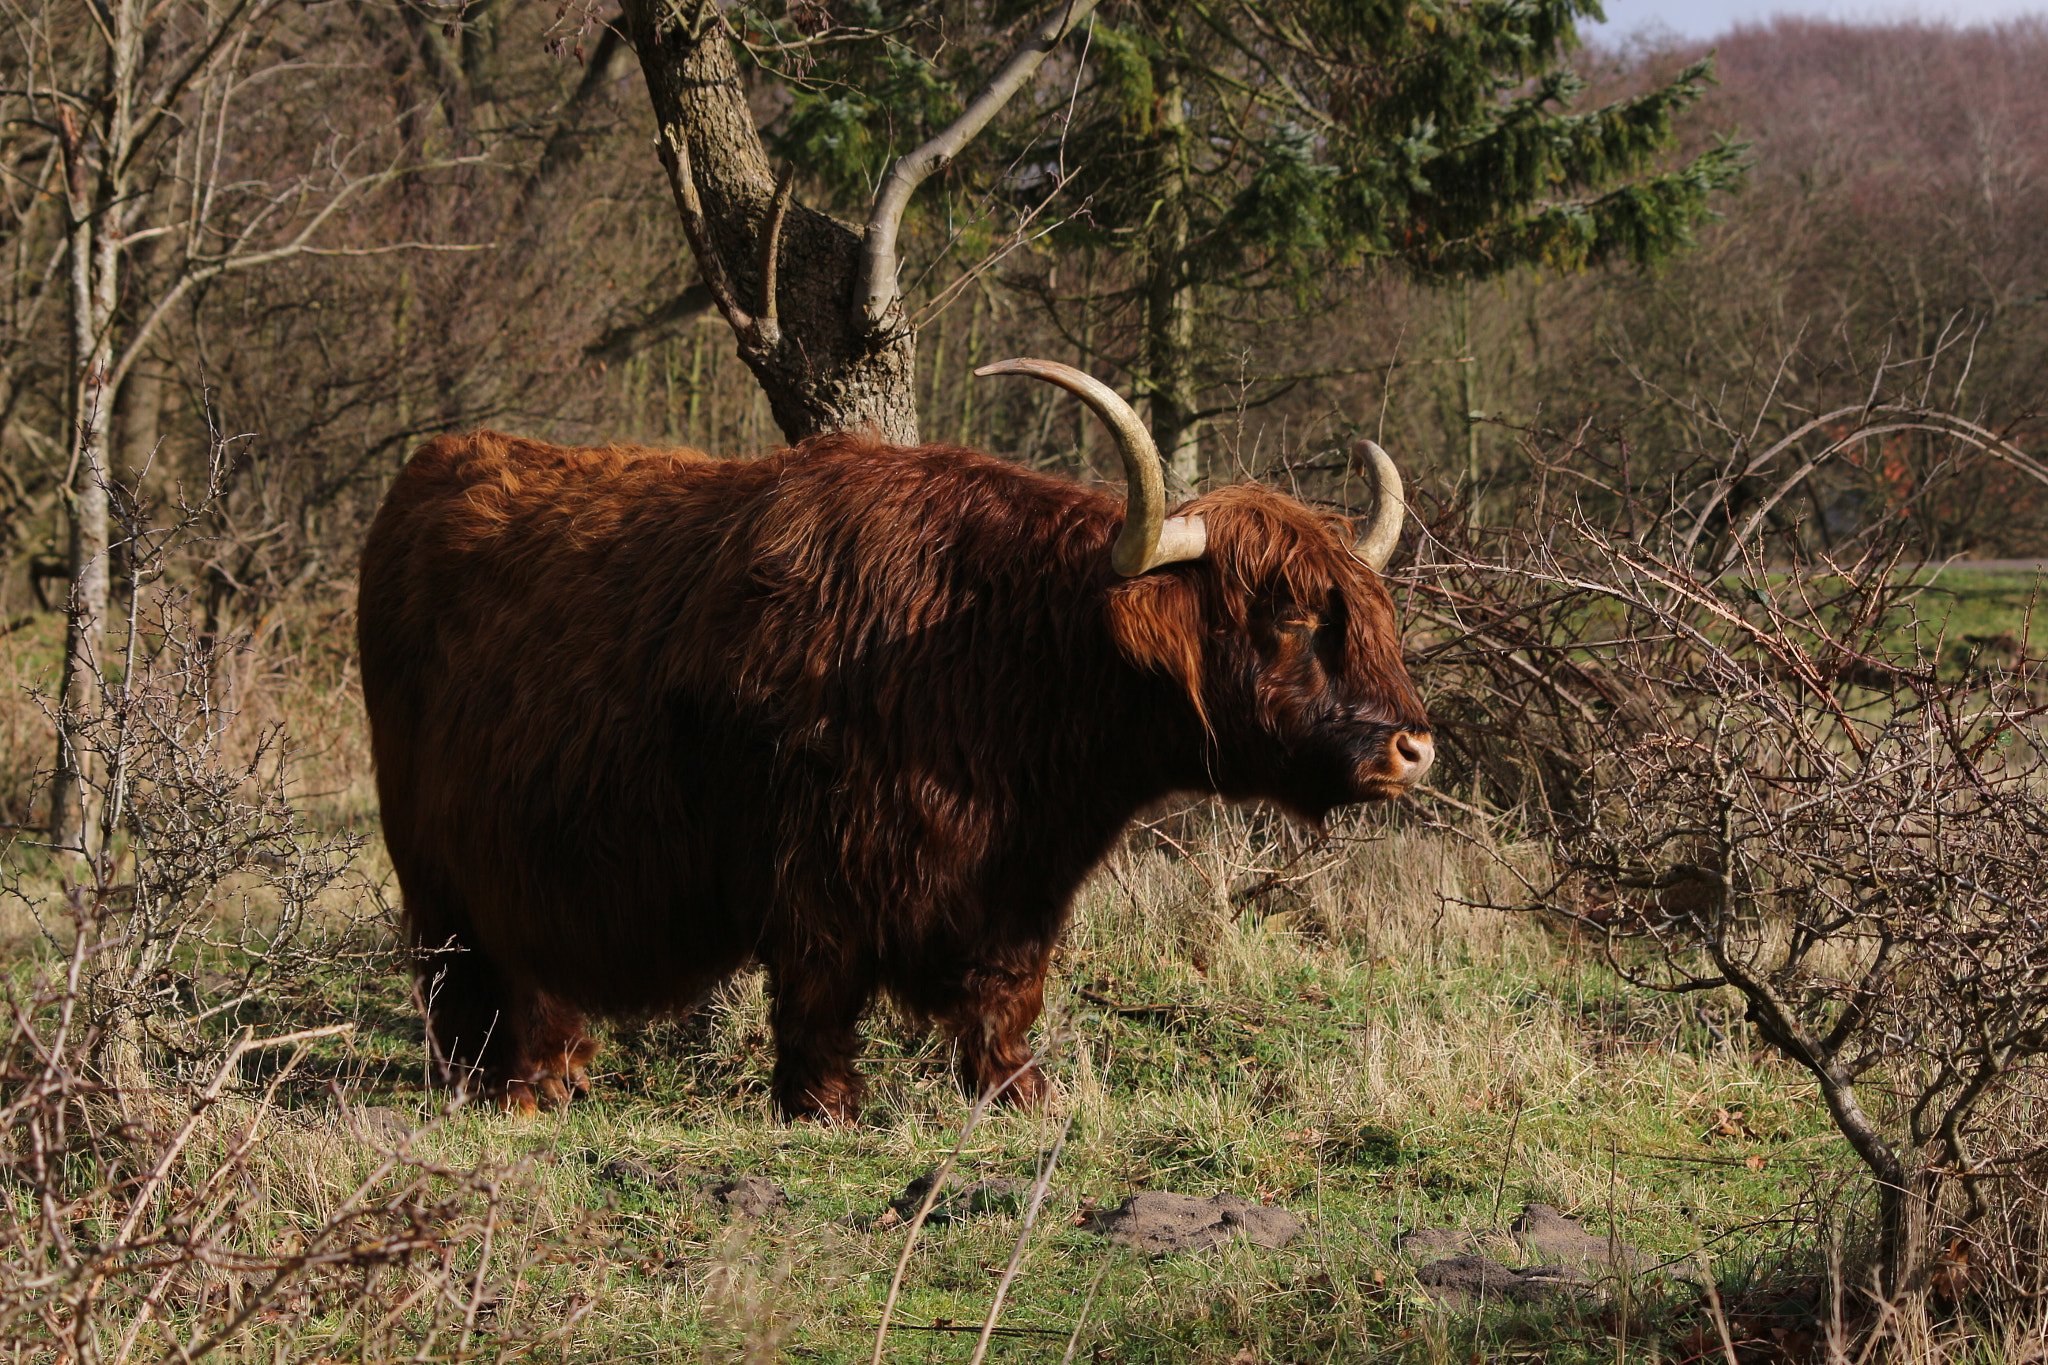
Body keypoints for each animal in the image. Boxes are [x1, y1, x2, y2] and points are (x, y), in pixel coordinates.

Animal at [358, 360, 1432, 1120]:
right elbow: (821, 985)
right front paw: (824, 1104)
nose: (1414, 748)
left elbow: (1007, 993)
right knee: (483, 967)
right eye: (1289, 616)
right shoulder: (820, 859)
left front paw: (1018, 1090)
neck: (1003, 647)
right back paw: (526, 1083)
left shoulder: (1020, 880)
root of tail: (434, 464)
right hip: (453, 854)